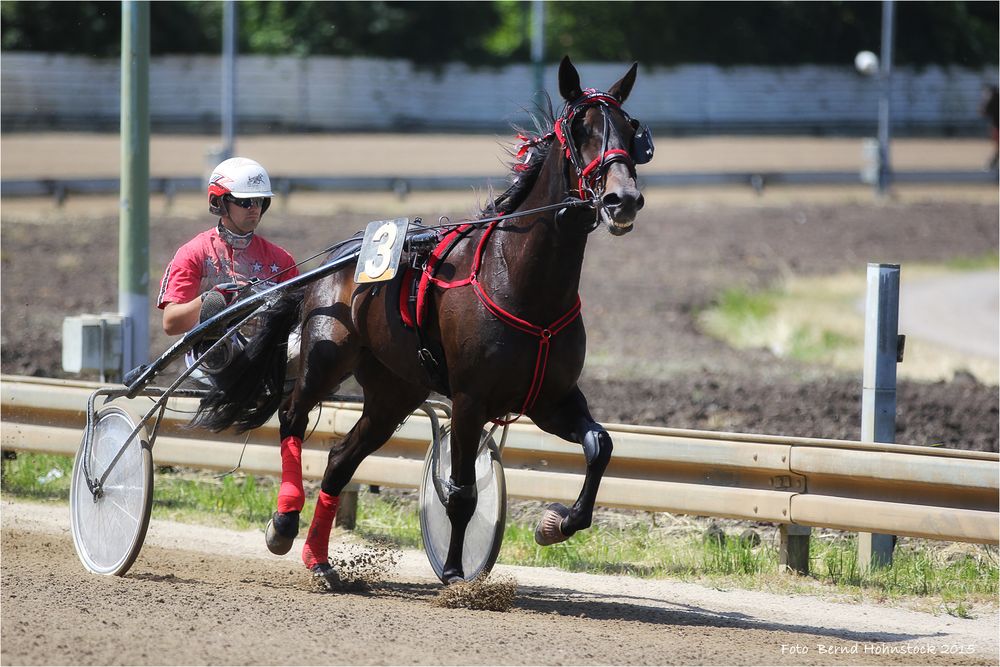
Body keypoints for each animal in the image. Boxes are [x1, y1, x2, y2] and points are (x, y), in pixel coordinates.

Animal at [196, 58, 652, 588]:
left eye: (631, 129)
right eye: (581, 130)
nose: (623, 199)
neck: (522, 283)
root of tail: (333, 261)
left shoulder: (550, 399)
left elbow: (600, 444)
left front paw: (555, 523)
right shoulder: (471, 400)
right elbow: (461, 492)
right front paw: (455, 573)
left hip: (396, 389)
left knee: (341, 459)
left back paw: (319, 560)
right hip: (327, 355)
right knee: (293, 416)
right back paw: (284, 522)